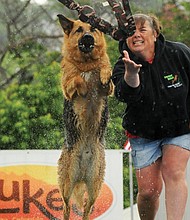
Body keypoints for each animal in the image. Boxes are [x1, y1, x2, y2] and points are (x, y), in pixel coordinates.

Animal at [56, 14, 113, 220]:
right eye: (79, 30)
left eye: (93, 29)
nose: (88, 37)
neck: (87, 63)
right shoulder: (67, 87)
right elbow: (77, 79)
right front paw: (83, 86)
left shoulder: (108, 90)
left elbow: (105, 72)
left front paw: (104, 74)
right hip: (67, 183)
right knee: (66, 207)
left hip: (95, 184)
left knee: (87, 208)